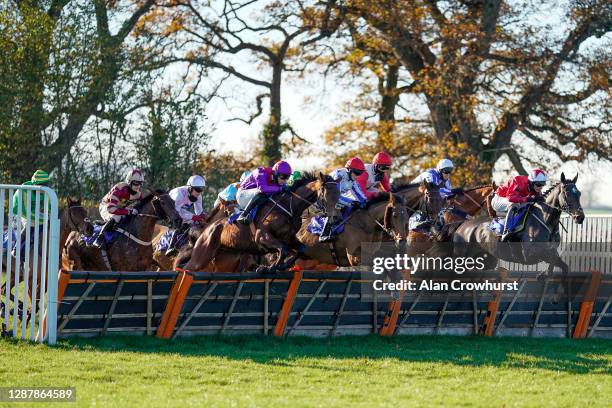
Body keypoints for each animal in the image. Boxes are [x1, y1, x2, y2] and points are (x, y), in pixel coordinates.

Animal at [182, 171, 344, 272]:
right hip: (202, 254)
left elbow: (300, 250)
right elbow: (283, 250)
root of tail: (208, 227)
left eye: (338, 193)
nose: (335, 218)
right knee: (186, 268)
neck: (288, 206)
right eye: (326, 195)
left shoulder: (290, 239)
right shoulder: (262, 237)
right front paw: (269, 267)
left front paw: (281, 266)